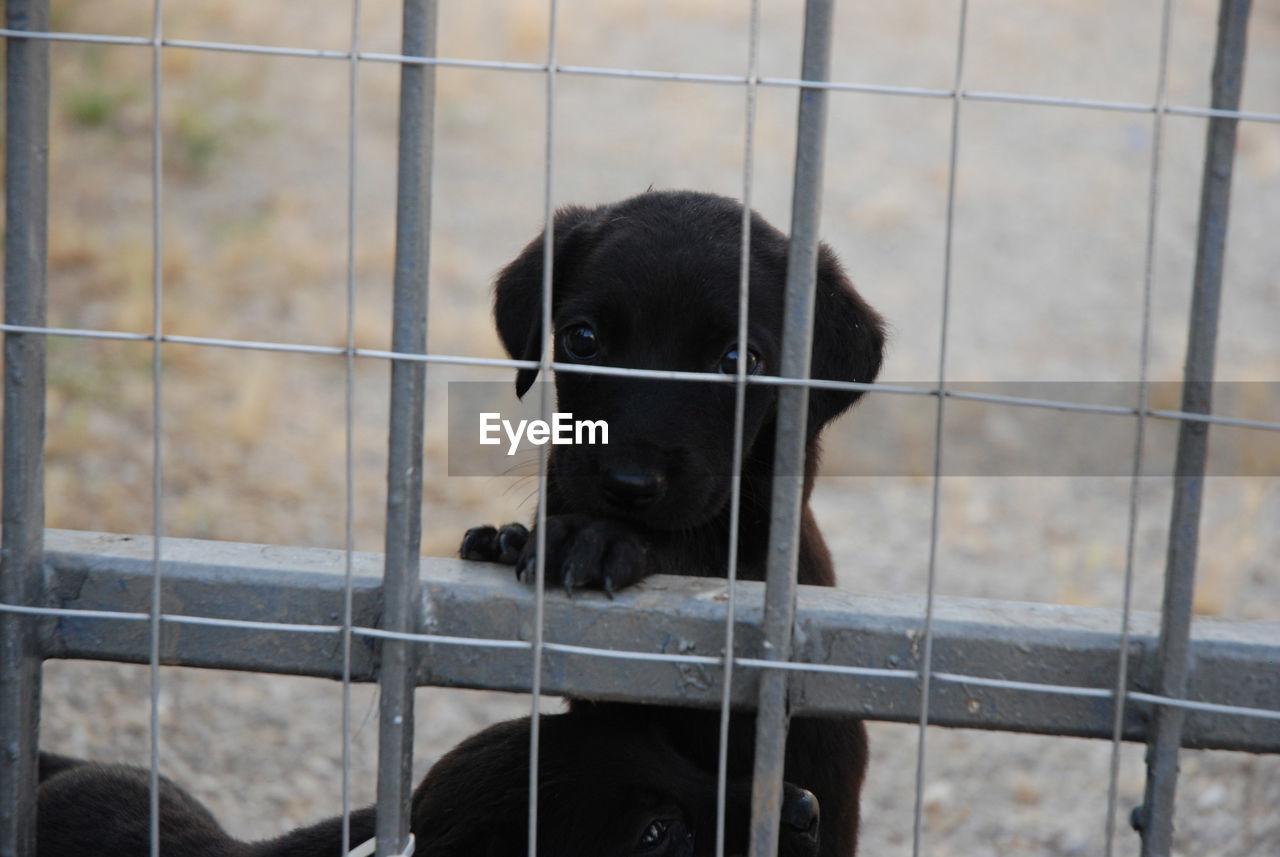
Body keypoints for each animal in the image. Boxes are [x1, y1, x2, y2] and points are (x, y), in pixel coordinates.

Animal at [463, 189, 890, 857]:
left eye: (739, 360)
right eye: (582, 339)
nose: (628, 483)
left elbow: (687, 553)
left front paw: (596, 541)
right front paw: (511, 539)